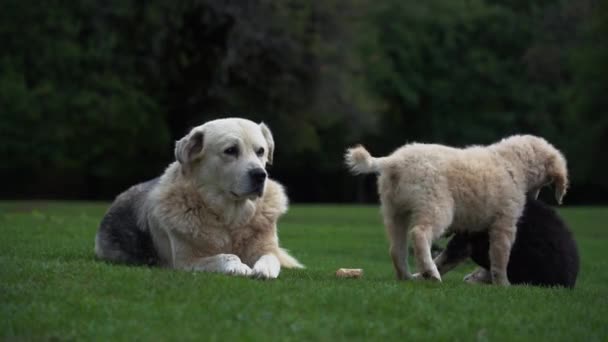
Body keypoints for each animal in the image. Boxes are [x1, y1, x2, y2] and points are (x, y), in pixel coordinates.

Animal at [96, 117, 304, 278]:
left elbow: (270, 258)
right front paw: (238, 267)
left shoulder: (266, 249)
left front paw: (264, 270)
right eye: (230, 150)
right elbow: (227, 256)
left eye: (260, 151)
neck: (231, 218)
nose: (260, 175)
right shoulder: (186, 262)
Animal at [344, 135, 568, 284]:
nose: (533, 199)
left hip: (395, 211)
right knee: (419, 234)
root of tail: (395, 161)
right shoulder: (504, 222)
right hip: (436, 206)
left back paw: (407, 277)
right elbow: (500, 257)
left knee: (396, 248)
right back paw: (431, 273)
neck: (512, 163)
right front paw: (503, 284)